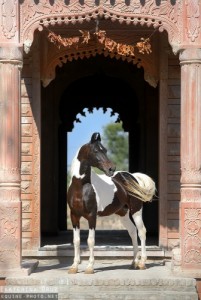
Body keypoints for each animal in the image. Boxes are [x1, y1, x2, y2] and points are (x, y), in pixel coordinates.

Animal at [66, 132, 156, 274]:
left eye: (105, 150)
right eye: (96, 150)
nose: (111, 168)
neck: (80, 187)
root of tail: (133, 176)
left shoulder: (92, 216)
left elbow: (90, 241)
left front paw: (90, 267)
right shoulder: (74, 216)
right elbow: (76, 241)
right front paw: (74, 266)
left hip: (136, 211)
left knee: (141, 232)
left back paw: (142, 263)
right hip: (123, 214)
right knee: (132, 231)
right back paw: (134, 262)